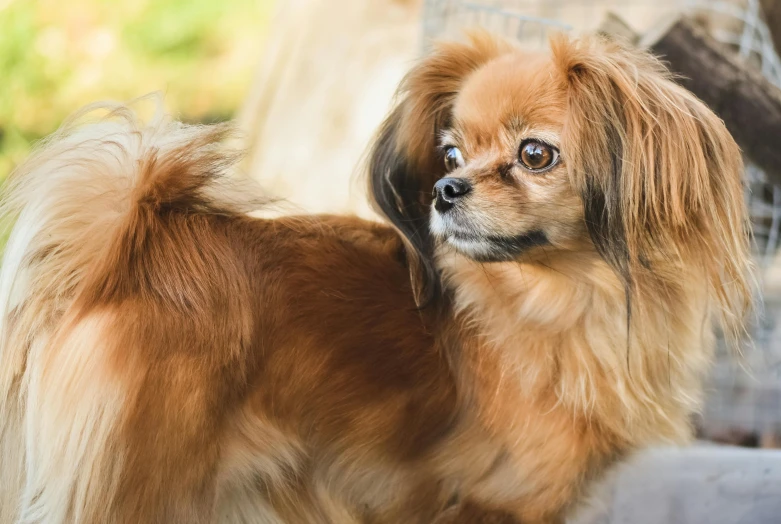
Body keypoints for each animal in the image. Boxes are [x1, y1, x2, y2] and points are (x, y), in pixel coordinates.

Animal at [0, 32, 752, 524]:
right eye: (450, 153)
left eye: (536, 154)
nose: (445, 189)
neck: (549, 297)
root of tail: (129, 254)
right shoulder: (496, 505)